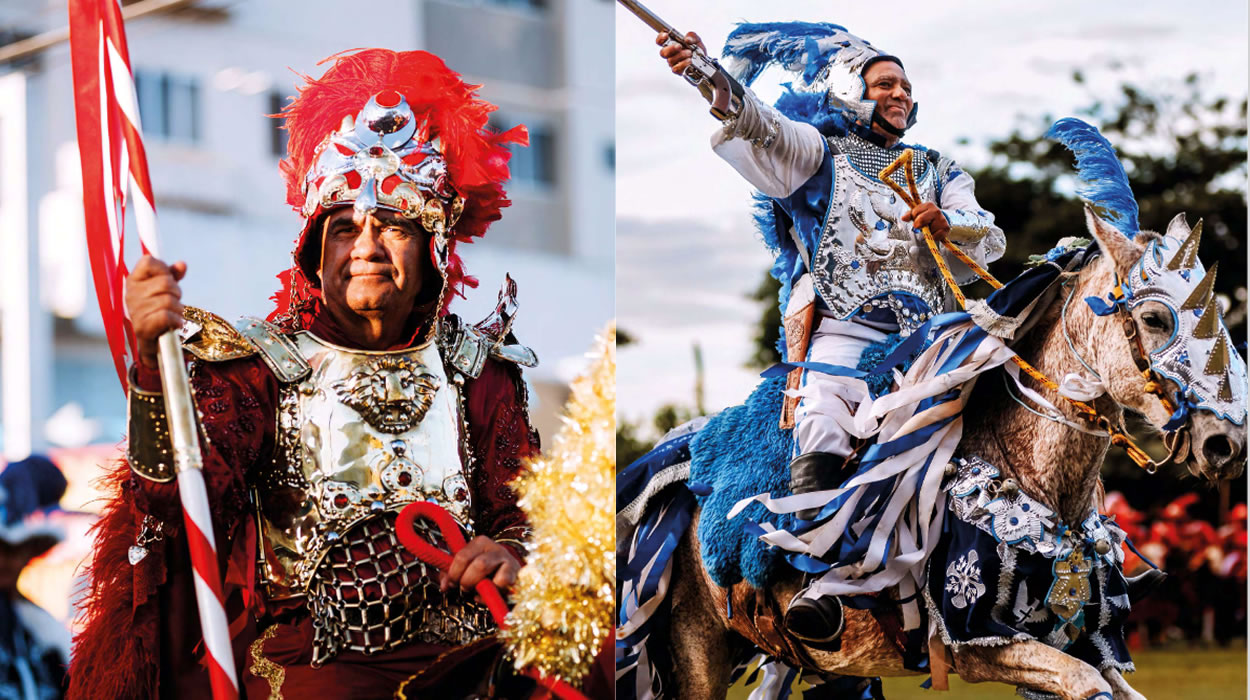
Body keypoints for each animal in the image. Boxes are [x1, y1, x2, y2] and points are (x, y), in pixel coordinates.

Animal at [620, 207, 1245, 700]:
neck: (1025, 474)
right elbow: (1086, 686)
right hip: (697, 652)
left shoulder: (1082, 638)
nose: (1226, 444)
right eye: (1155, 318)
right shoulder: (979, 641)